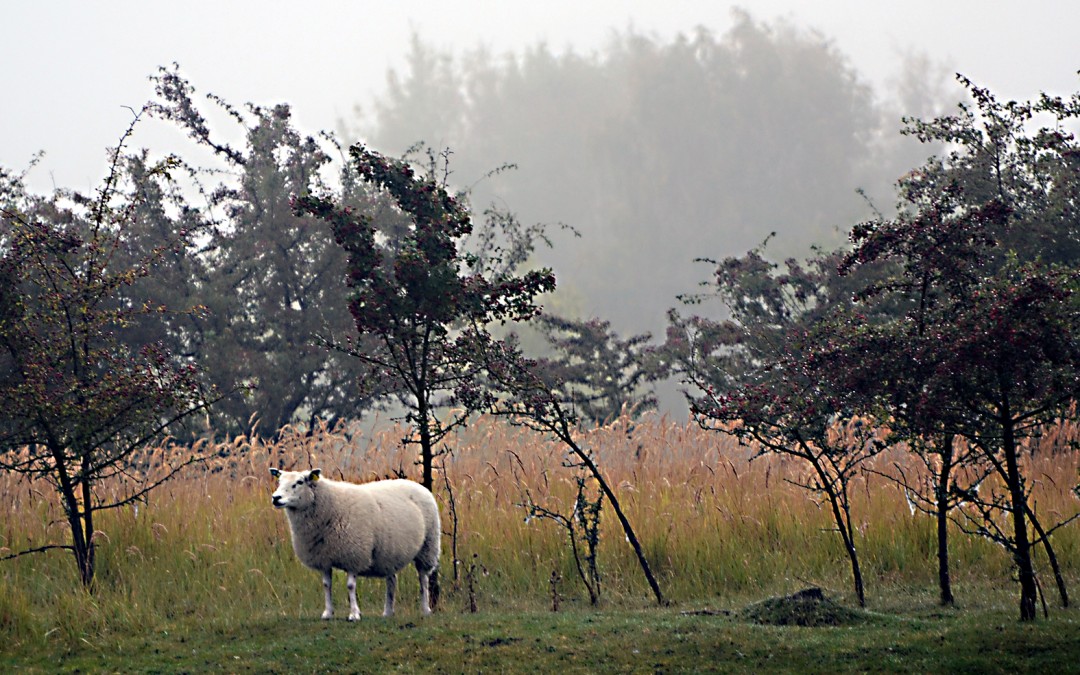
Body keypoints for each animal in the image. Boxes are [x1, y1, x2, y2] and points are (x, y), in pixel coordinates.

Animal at [268, 466, 438, 617]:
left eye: (299, 482)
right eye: (279, 481)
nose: (276, 498)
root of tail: (415, 484)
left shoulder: (354, 554)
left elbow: (350, 586)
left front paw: (354, 614)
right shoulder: (323, 557)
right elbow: (326, 585)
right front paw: (328, 613)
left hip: (428, 545)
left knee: (423, 579)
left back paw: (425, 609)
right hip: (390, 551)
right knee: (392, 580)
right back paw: (388, 612)